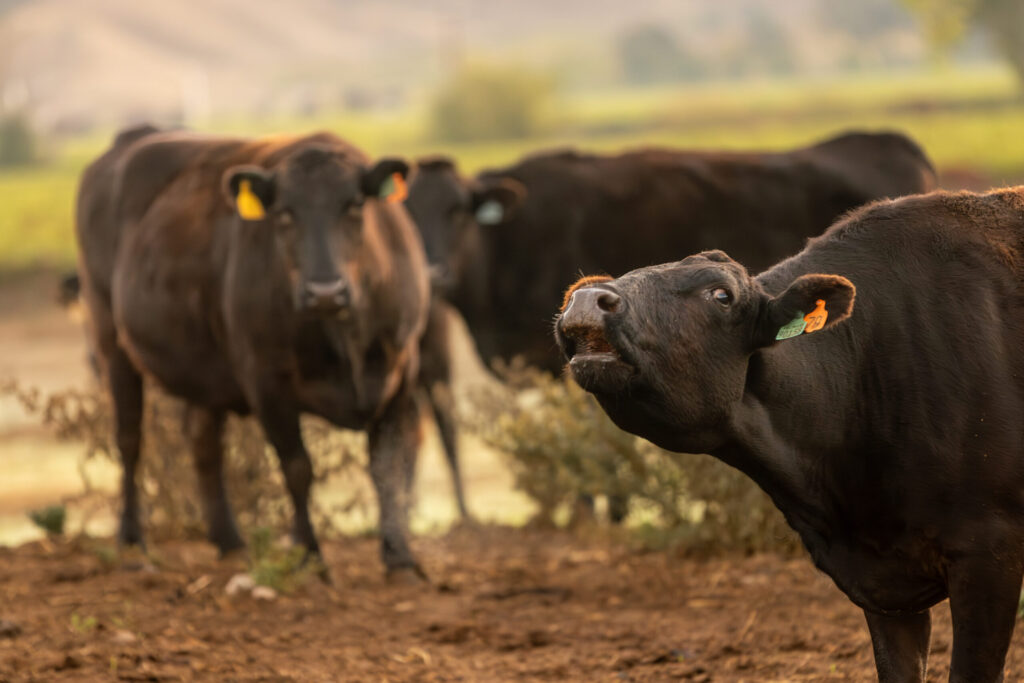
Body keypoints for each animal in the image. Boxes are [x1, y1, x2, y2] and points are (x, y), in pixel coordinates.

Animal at [75, 126, 432, 580]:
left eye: (353, 204)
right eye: (284, 213)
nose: (324, 291)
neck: (344, 335)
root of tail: (135, 137)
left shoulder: (401, 374)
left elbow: (387, 468)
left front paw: (400, 557)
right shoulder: (266, 381)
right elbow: (298, 469)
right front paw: (310, 558)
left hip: (204, 371)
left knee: (204, 444)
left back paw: (230, 542)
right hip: (111, 341)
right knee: (129, 438)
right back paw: (132, 539)